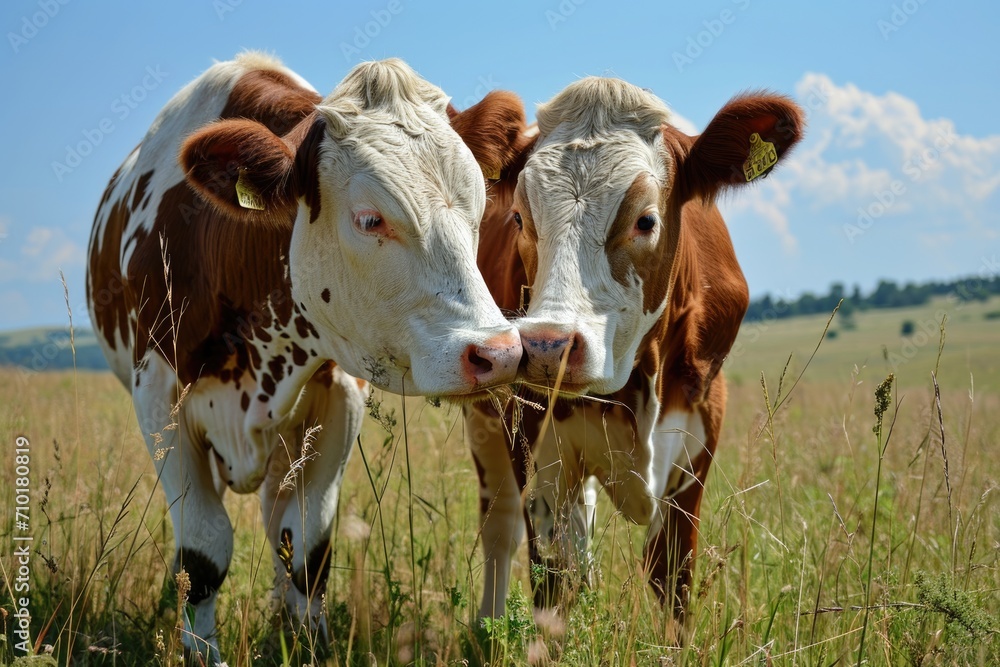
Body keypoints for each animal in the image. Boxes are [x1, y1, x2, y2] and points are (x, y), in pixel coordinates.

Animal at [85, 53, 524, 664]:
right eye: (369, 219)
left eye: (479, 210)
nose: (498, 353)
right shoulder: (158, 399)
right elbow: (202, 549)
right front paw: (201, 648)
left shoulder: (338, 399)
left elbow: (308, 545)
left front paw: (309, 639)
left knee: (279, 524)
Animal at [454, 81, 804, 636]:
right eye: (520, 218)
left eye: (646, 220)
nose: (549, 347)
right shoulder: (539, 447)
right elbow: (554, 581)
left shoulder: (696, 447)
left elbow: (671, 577)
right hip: (485, 416)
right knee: (500, 526)